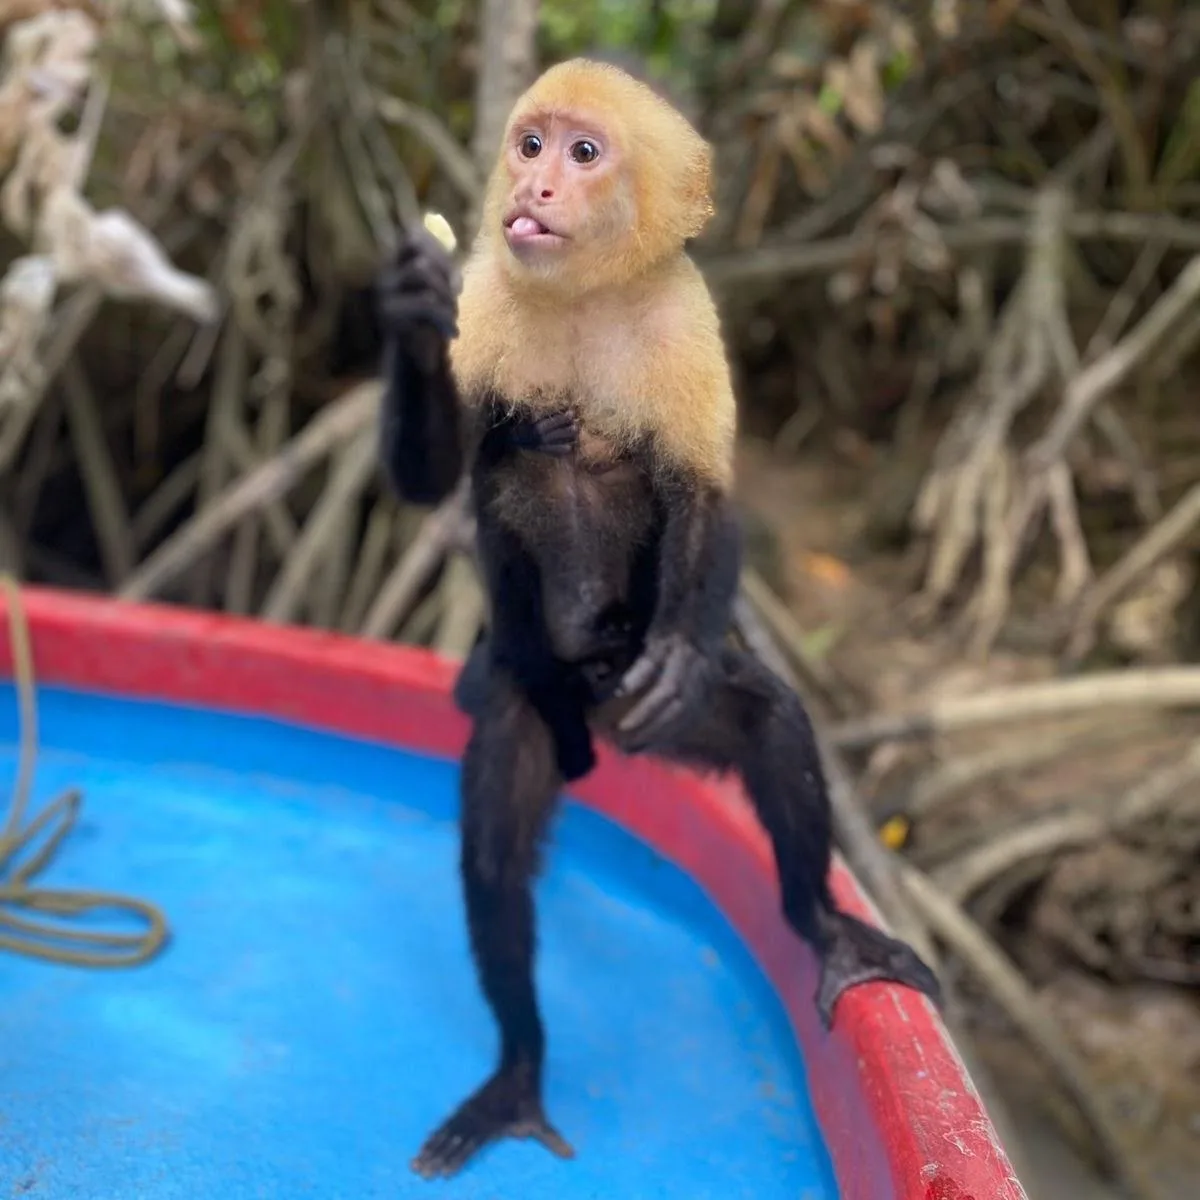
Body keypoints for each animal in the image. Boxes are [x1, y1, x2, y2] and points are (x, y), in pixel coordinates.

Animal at [375, 58, 943, 1180]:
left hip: (633, 697)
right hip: (531, 699)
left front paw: (684, 650)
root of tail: (593, 716)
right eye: (530, 144)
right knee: (495, 863)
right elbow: (440, 472)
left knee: (768, 723)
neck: (586, 298)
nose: (536, 188)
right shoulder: (490, 296)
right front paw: (412, 322)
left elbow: (705, 498)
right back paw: (519, 1066)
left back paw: (821, 924)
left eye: (583, 153)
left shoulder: (685, 321)